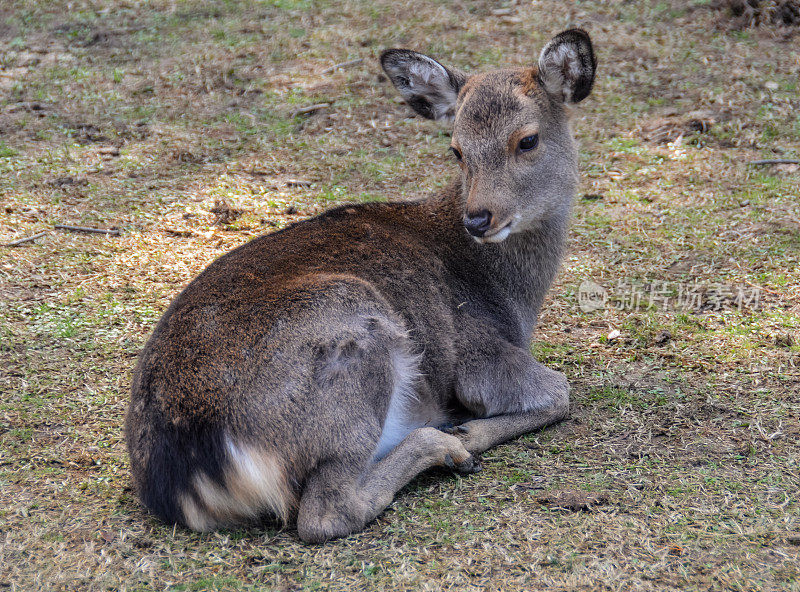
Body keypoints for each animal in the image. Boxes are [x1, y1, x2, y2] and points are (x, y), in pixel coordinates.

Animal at [126, 30, 592, 544]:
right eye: (457, 149)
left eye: (527, 140)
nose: (477, 218)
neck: (514, 300)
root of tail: (190, 470)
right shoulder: (477, 353)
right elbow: (558, 391)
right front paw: (469, 432)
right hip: (353, 334)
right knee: (326, 512)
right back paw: (444, 445)